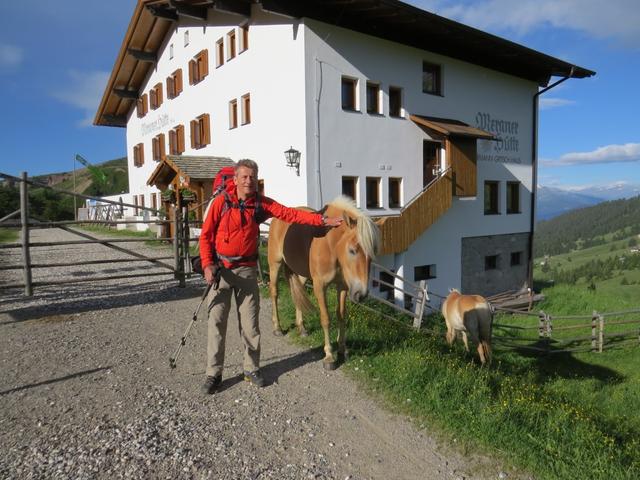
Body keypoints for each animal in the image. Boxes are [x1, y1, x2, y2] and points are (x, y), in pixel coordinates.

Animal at [266, 197, 380, 370]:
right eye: (352, 250)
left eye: (372, 254)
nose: (361, 294)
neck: (330, 244)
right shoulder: (320, 286)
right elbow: (326, 318)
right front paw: (329, 356)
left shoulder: (343, 286)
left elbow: (341, 316)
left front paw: (342, 350)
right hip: (275, 264)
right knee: (274, 293)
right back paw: (278, 327)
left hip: (302, 274)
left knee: (298, 293)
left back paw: (302, 328)